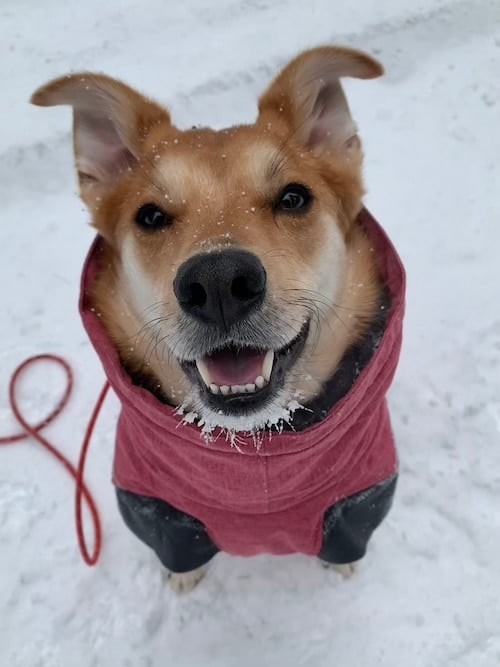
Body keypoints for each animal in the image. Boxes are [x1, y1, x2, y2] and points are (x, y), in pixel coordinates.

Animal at [31, 47, 404, 596]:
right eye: (150, 216)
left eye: (294, 198)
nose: (219, 282)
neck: (251, 455)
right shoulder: (156, 510)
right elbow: (178, 549)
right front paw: (183, 578)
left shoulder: (361, 497)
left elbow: (346, 537)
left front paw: (342, 566)